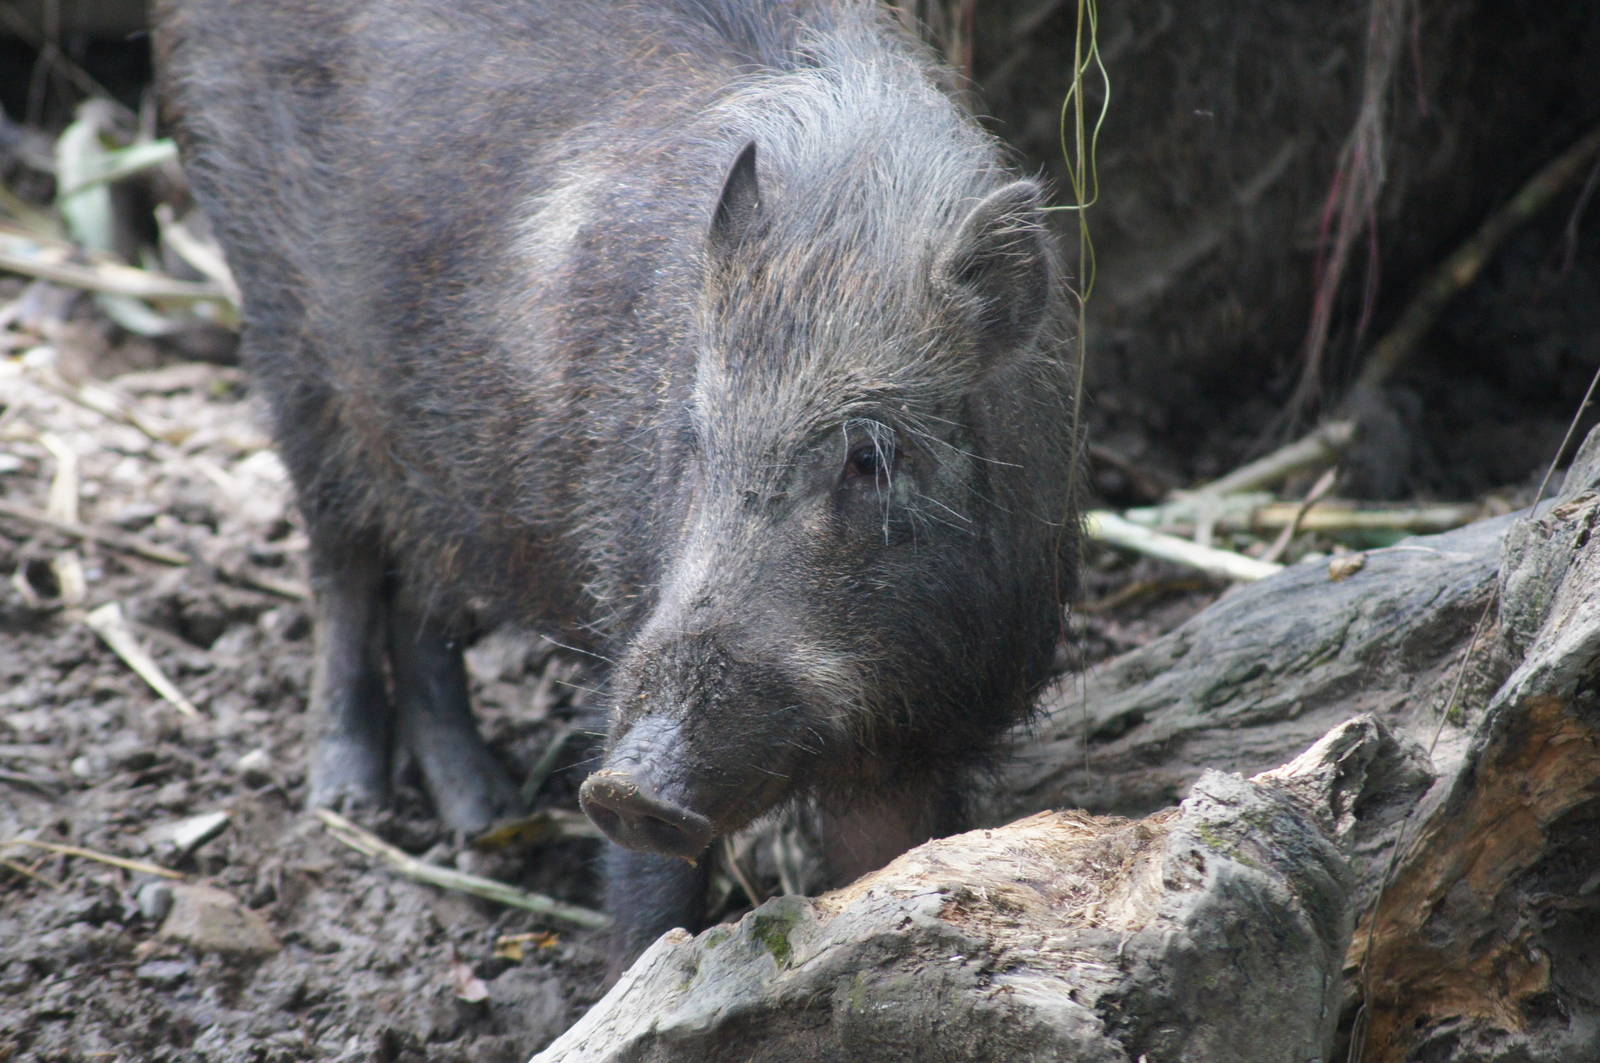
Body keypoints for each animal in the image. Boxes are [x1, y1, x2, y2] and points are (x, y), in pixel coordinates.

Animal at [155, 0, 1079, 968]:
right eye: (699, 435)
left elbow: (891, 860)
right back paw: (348, 799)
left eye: (869, 457)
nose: (627, 786)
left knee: (424, 591)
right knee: (339, 556)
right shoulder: (624, 605)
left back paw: (484, 811)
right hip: (281, 336)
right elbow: (651, 902)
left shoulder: (938, 732)